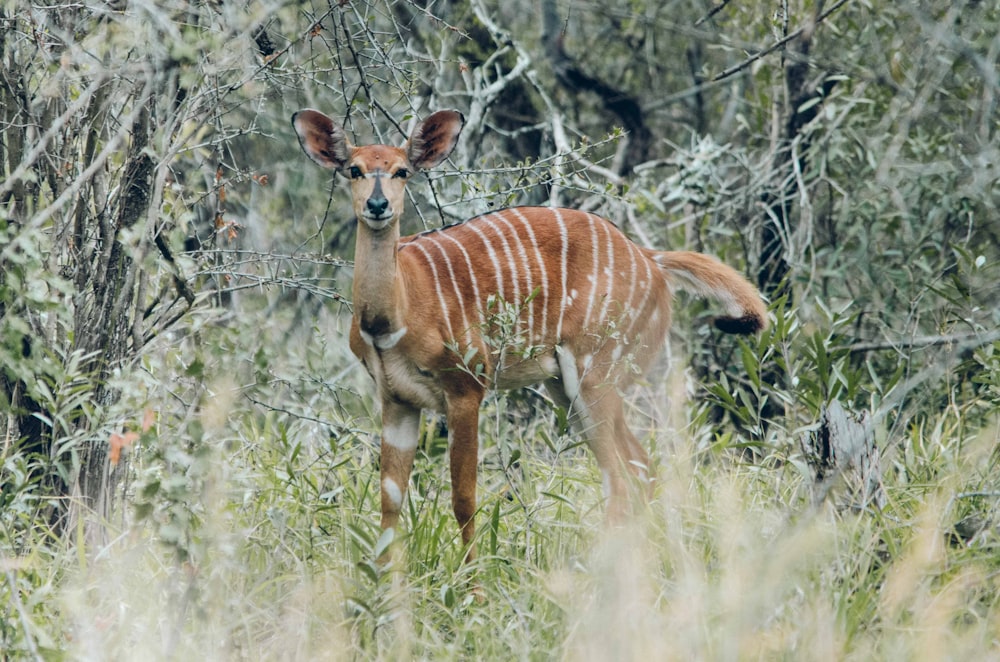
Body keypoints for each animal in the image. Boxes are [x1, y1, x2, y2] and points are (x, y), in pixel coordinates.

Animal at [292, 106, 768, 564]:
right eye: (353, 169)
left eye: (401, 171)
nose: (377, 205)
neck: (396, 315)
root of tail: (651, 259)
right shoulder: (397, 400)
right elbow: (390, 499)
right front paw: (385, 584)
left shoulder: (467, 387)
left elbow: (463, 497)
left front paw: (473, 581)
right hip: (568, 388)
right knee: (639, 466)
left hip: (597, 375)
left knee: (619, 476)